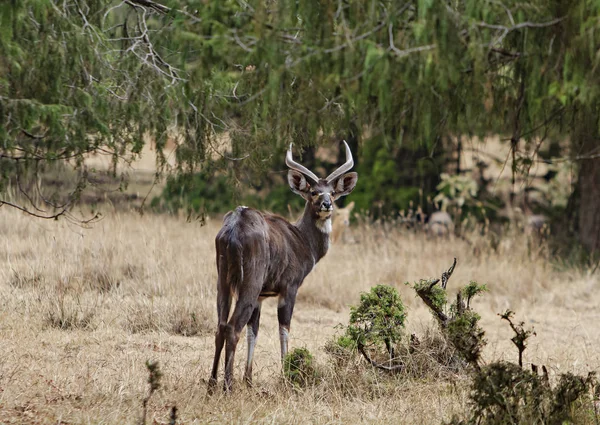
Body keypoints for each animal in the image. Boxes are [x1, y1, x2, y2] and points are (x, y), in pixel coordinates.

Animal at [209, 140, 356, 390]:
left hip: (224, 281)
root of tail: (233, 228)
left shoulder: (261, 296)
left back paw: (211, 384)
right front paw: (286, 376)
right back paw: (228, 385)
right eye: (314, 192)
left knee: (220, 325)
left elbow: (254, 331)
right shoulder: (290, 287)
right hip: (249, 283)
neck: (302, 241)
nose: (327, 205)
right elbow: (284, 329)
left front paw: (249, 380)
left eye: (333, 193)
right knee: (232, 327)